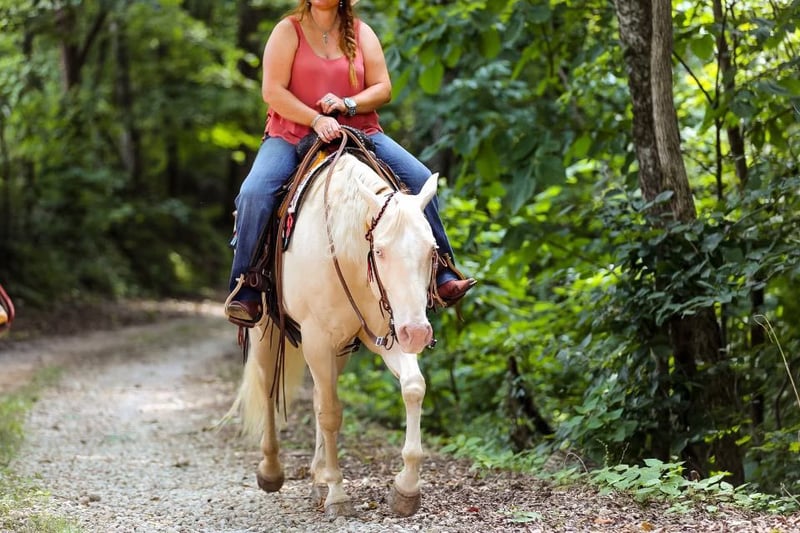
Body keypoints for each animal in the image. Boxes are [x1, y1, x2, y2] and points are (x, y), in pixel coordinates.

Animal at [231, 143, 440, 518]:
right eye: (379, 251)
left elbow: (413, 388)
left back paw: (316, 479)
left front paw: (406, 487)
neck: (346, 254)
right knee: (269, 388)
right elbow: (330, 414)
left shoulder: (388, 331)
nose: (417, 333)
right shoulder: (317, 339)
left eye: (432, 250)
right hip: (266, 330)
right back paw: (271, 470)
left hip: (339, 348)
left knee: (317, 395)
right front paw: (338, 495)